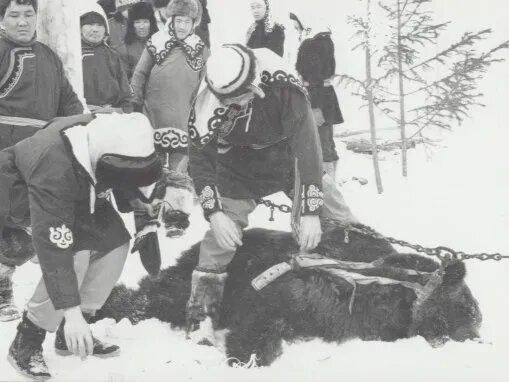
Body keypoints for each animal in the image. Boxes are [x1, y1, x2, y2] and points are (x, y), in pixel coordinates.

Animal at [97, 224, 482, 368]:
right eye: (466, 306)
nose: (478, 332)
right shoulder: (276, 295)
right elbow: (257, 327)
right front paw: (244, 356)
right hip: (197, 279)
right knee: (157, 297)